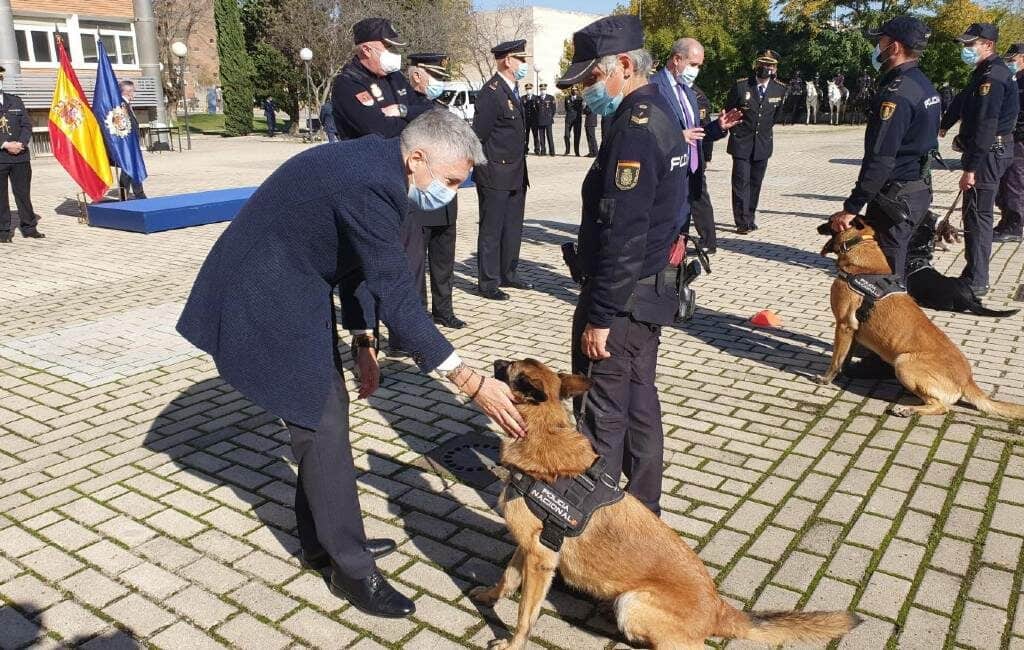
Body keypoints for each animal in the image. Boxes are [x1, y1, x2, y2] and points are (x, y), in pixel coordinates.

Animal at [473, 358, 864, 646]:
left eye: (508, 367)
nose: (494, 361)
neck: (545, 432)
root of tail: (719, 609)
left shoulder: (540, 560)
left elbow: (525, 615)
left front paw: (513, 643)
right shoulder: (528, 548)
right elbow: (507, 578)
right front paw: (490, 596)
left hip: (633, 603)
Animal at [819, 221, 1024, 419]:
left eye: (830, 221)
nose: (819, 227)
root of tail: (967, 379)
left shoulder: (844, 325)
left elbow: (836, 359)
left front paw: (826, 379)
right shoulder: (853, 331)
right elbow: (844, 357)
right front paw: (841, 374)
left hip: (903, 363)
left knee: (941, 407)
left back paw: (907, 410)